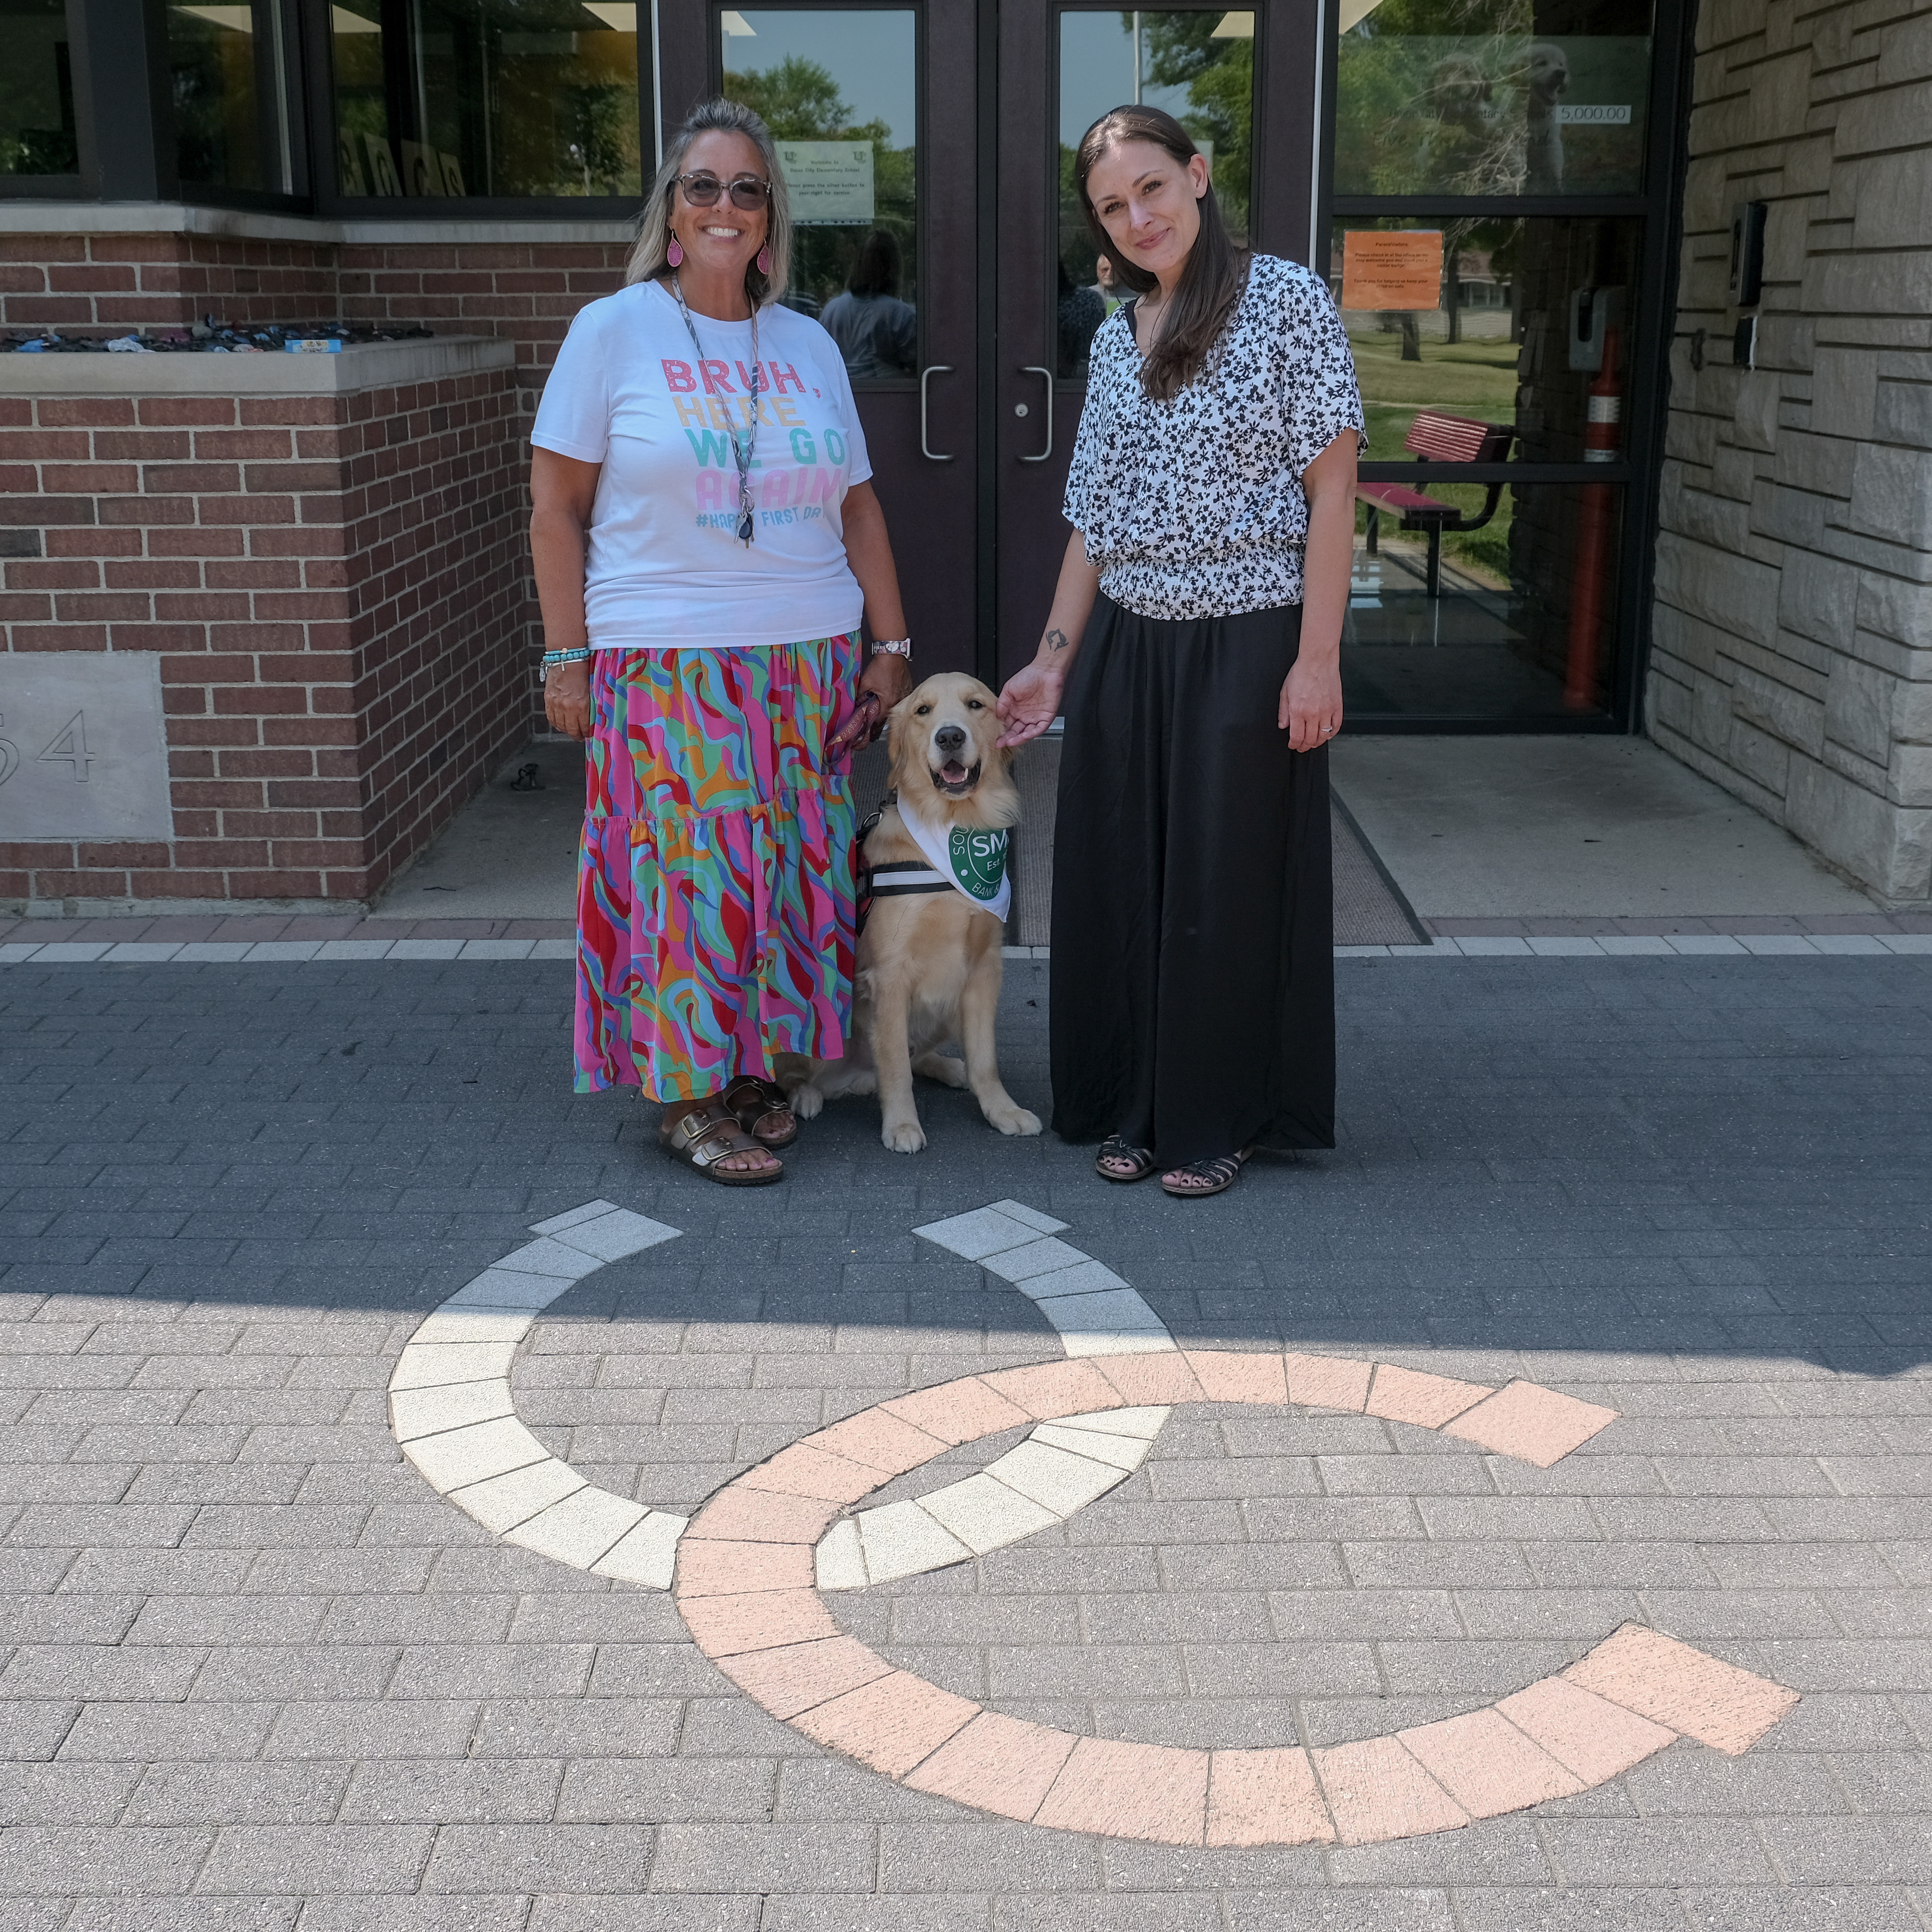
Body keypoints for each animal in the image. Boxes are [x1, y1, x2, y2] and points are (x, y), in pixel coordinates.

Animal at [788, 676, 1043, 1151]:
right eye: (923, 711)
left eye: (975, 705)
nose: (950, 737)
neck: (953, 825)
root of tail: (853, 1079)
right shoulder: (890, 974)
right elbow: (895, 1067)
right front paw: (903, 1125)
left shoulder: (984, 967)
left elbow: (985, 1059)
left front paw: (1002, 1110)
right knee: (792, 1070)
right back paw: (804, 1096)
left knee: (919, 1054)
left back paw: (948, 1066)